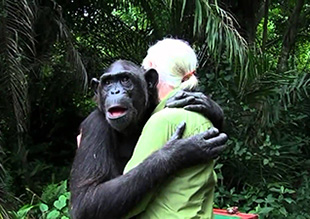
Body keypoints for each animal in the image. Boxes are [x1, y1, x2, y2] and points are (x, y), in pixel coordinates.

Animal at [69, 60, 225, 219]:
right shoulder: (95, 126)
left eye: (125, 79)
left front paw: (208, 106)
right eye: (107, 82)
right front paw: (178, 151)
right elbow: (86, 198)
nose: (115, 91)